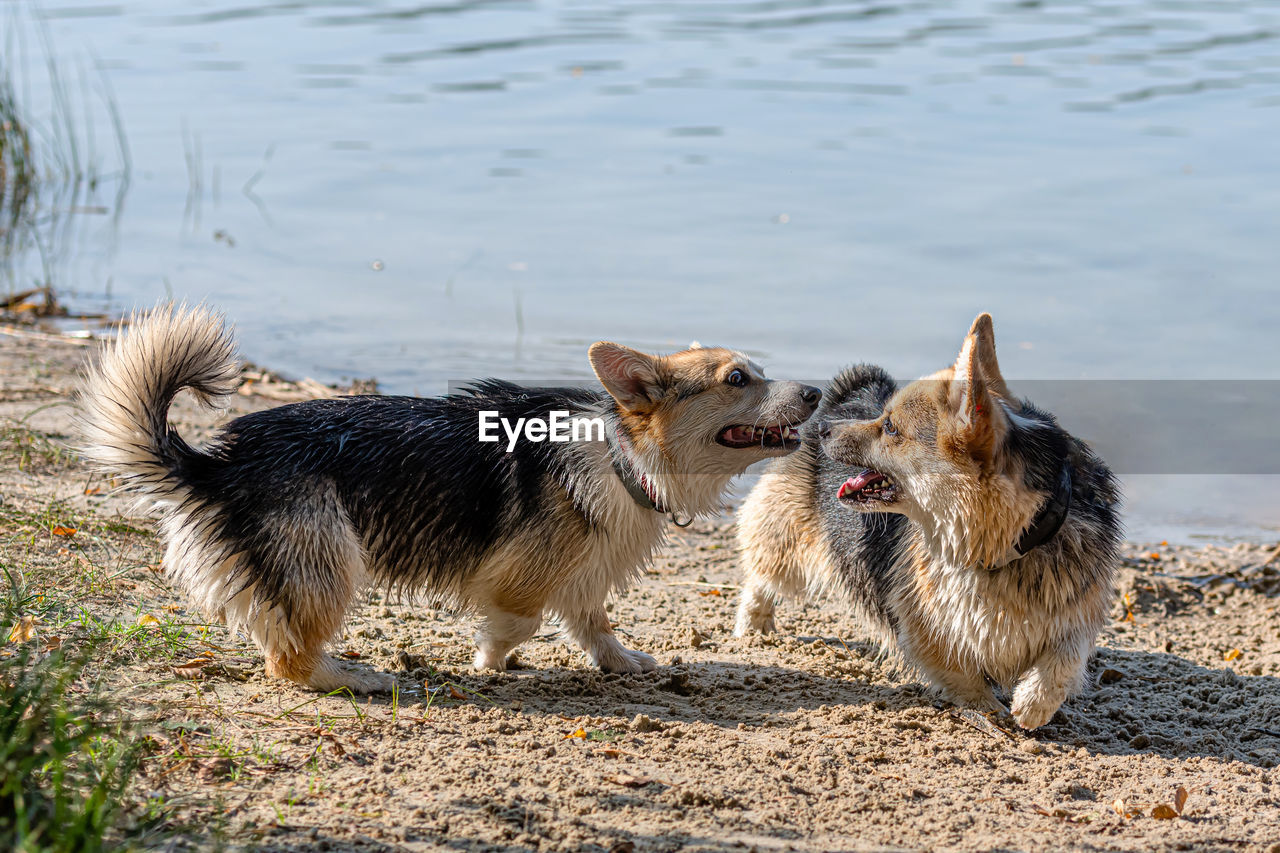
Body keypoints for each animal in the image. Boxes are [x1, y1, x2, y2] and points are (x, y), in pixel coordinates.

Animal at [80, 306, 819, 691]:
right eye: (737, 378)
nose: (815, 392)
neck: (621, 456)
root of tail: (215, 465)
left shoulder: (585, 573)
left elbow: (593, 621)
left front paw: (620, 660)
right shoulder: (520, 575)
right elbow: (518, 621)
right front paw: (489, 661)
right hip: (331, 560)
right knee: (288, 659)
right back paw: (355, 675)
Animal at [737, 315, 1116, 727]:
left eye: (890, 427)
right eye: (884, 419)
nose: (825, 430)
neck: (1001, 546)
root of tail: (847, 394)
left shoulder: (1077, 613)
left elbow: (1065, 659)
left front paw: (1032, 706)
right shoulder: (923, 623)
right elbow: (959, 671)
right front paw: (989, 710)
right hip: (785, 536)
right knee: (762, 575)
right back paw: (754, 626)